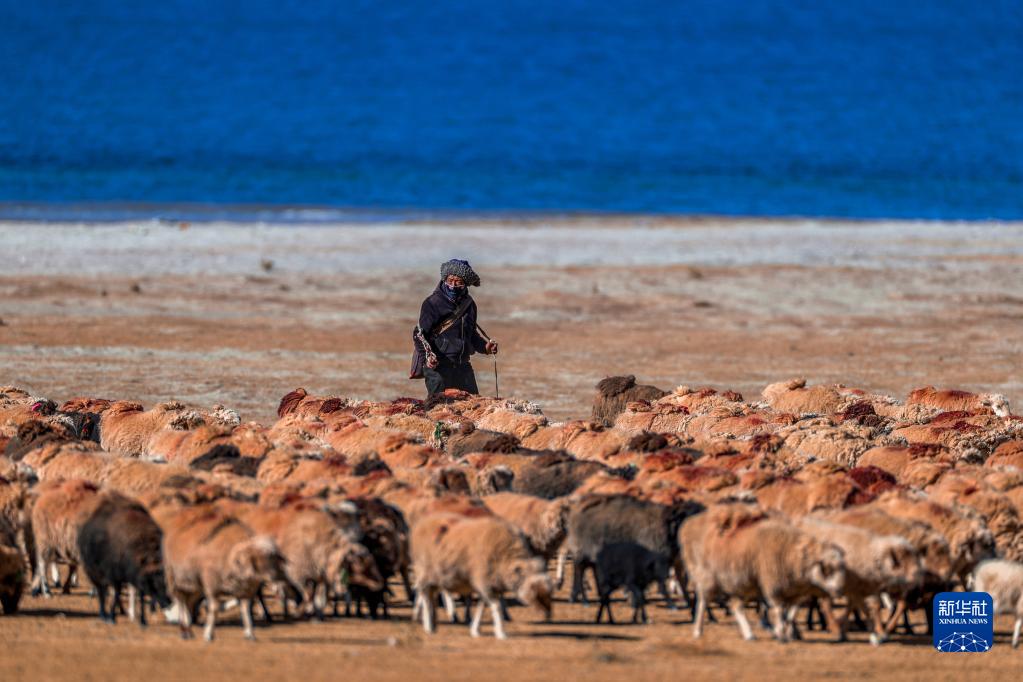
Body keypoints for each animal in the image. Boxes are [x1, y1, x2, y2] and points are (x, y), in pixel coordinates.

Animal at [76, 492, 172, 625]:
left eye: (165, 582)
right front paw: (111, 616)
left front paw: (143, 620)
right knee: (101, 592)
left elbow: (140, 595)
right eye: (154, 583)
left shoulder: (137, 576)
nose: (168, 603)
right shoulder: (114, 575)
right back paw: (103, 614)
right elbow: (116, 594)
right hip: (93, 572)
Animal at [410, 512, 552, 639]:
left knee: (428, 596)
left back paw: (431, 623)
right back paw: (428, 626)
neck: (505, 556)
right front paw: (501, 633)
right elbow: (496, 607)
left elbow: (481, 608)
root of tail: (421, 523)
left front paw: (475, 630)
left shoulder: (489, 584)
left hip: (435, 577)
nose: (548, 615)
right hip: (425, 571)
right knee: (424, 595)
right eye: (532, 589)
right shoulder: (484, 582)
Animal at [681, 504, 846, 642]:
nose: (839, 590)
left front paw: (786, 631)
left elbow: (791, 613)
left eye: (841, 567)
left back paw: (749, 634)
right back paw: (698, 630)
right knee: (703, 601)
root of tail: (690, 523)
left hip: (742, 581)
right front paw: (781, 634)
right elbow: (779, 610)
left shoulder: (795, 591)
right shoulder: (773, 585)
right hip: (707, 576)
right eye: (826, 566)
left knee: (736, 606)